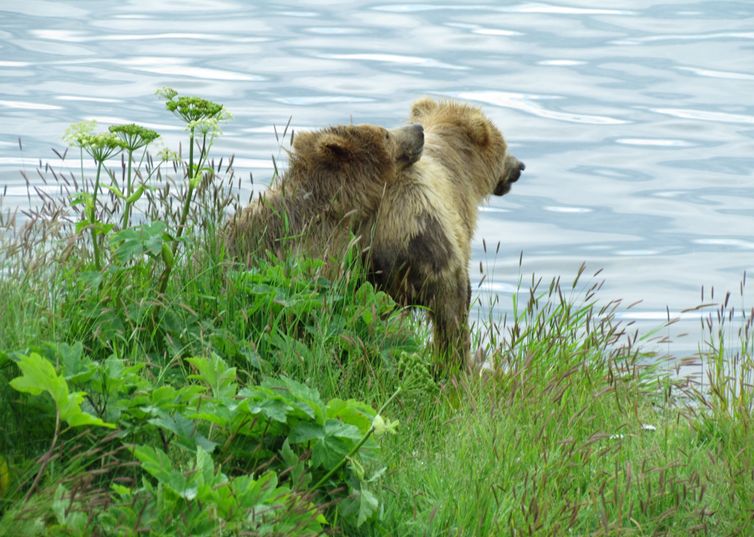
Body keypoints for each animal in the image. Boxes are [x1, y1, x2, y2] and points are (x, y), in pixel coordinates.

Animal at [364, 97, 524, 372]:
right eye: (504, 147)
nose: (519, 166)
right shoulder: (458, 219)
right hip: (433, 247)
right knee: (451, 312)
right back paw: (459, 365)